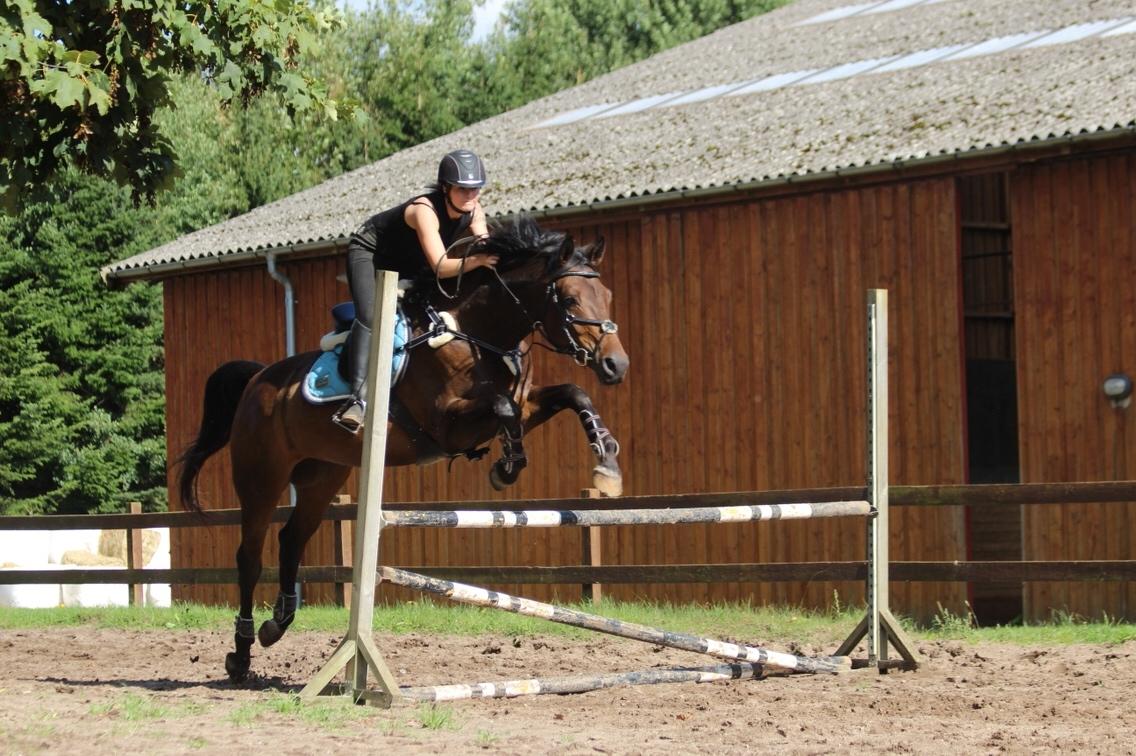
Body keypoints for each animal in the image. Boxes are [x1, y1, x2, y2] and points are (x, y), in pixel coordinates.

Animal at [174, 217, 631, 677]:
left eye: (609, 296)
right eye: (570, 298)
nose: (617, 365)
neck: (477, 332)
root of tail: (257, 379)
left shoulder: (526, 403)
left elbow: (571, 394)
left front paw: (607, 465)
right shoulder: (448, 425)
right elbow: (504, 407)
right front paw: (508, 466)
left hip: (323, 476)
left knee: (291, 540)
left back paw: (277, 625)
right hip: (262, 478)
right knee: (249, 555)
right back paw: (242, 651)